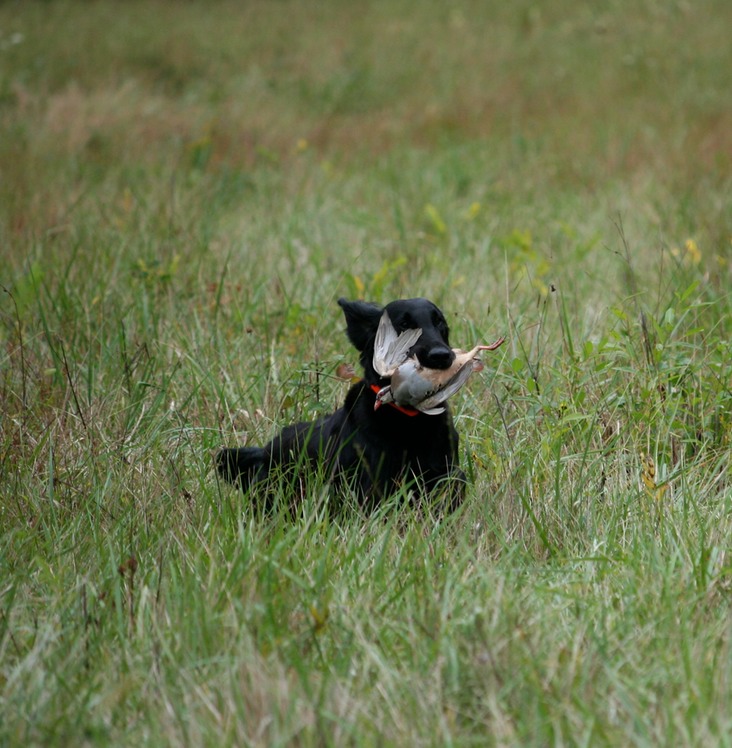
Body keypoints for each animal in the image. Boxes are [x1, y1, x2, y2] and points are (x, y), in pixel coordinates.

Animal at [216, 297, 467, 511]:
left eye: (439, 322)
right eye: (404, 325)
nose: (441, 356)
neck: (410, 423)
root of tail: (264, 452)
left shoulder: (447, 473)